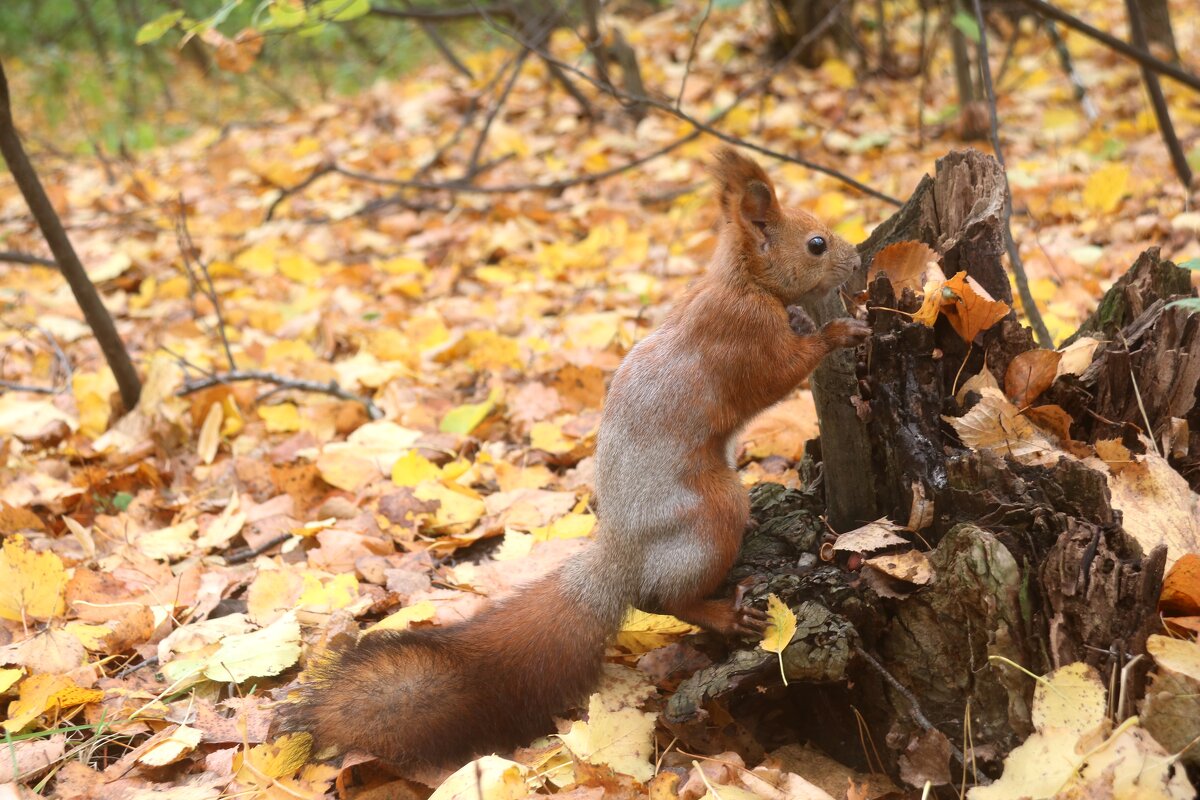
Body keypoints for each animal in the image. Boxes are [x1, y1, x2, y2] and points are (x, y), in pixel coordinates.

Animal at [274, 148, 868, 767]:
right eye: (816, 243)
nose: (857, 258)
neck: (744, 282)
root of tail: (622, 556)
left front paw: (811, 319)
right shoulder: (742, 337)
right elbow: (778, 373)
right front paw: (836, 332)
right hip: (713, 509)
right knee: (667, 598)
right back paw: (724, 613)